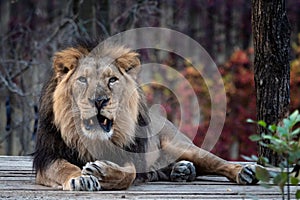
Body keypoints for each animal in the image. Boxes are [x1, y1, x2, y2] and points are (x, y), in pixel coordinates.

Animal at [32, 38, 258, 191]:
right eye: (82, 80)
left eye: (112, 80)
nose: (99, 100)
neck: (93, 140)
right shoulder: (48, 158)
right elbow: (64, 168)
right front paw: (81, 178)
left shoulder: (130, 156)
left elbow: (129, 173)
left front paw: (101, 172)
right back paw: (181, 170)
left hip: (182, 145)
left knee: (217, 162)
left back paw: (243, 172)